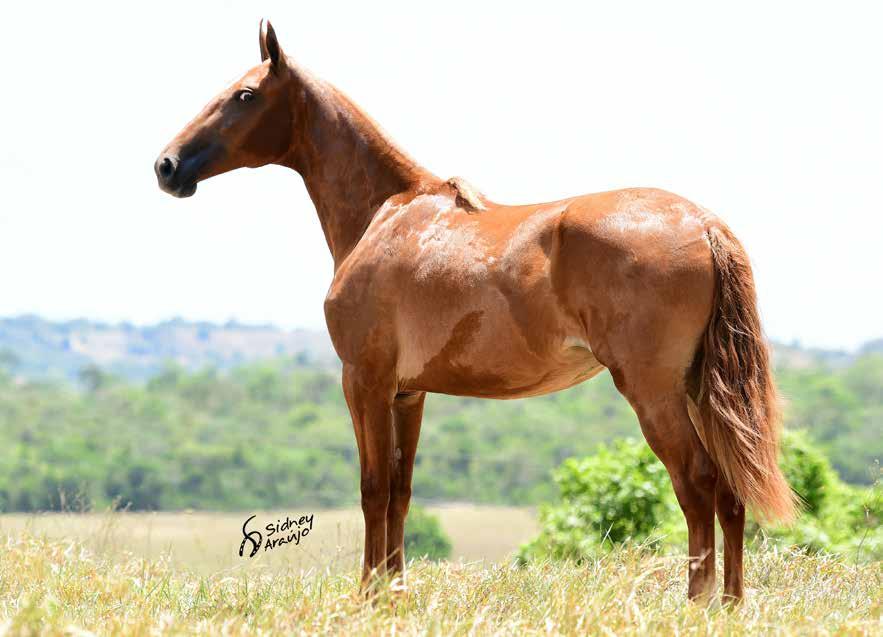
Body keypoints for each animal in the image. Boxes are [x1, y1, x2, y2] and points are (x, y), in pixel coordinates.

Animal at [155, 21, 796, 600]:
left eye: (244, 95)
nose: (167, 166)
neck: (387, 213)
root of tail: (703, 223)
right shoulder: (408, 393)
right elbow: (400, 490)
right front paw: (394, 594)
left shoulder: (364, 381)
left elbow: (371, 487)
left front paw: (367, 598)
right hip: (698, 388)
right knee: (730, 491)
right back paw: (731, 604)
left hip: (653, 391)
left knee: (698, 485)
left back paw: (696, 604)